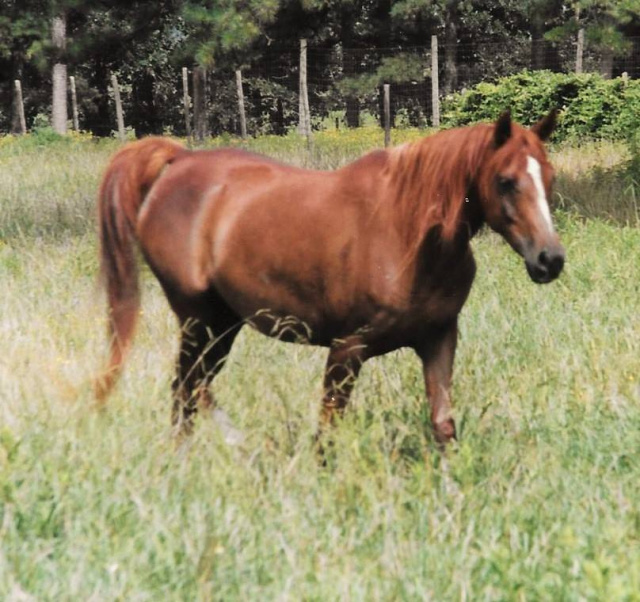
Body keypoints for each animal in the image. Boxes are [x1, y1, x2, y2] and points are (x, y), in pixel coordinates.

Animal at [95, 110, 564, 442]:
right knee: (186, 389)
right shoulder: (346, 350)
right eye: (505, 181)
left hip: (223, 322)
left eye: (549, 177)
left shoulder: (439, 339)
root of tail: (180, 160)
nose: (550, 259)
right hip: (198, 319)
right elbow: (328, 430)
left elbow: (443, 425)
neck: (408, 233)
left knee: (195, 389)